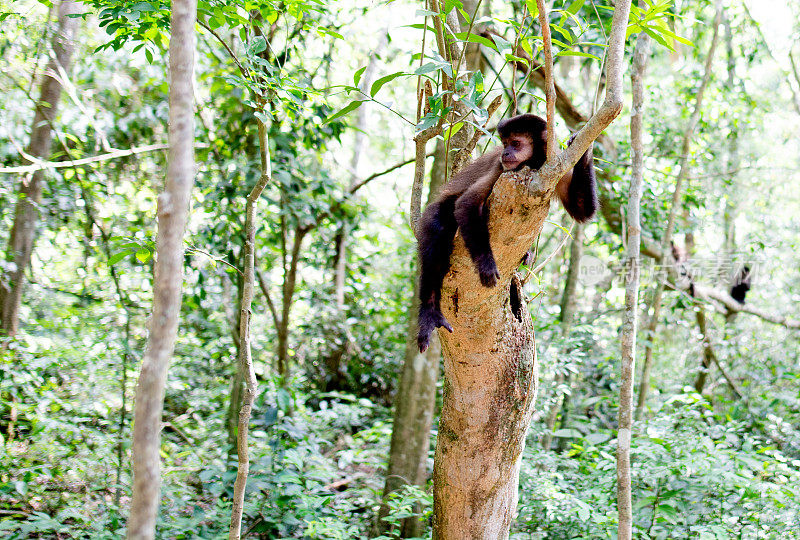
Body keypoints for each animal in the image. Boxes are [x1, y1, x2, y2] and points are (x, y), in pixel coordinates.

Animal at [416, 112, 596, 352]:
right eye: (505, 143)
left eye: (516, 143)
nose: (505, 153)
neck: (533, 164)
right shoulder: (503, 169)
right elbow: (466, 204)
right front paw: (486, 264)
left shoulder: (555, 168)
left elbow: (582, 211)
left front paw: (584, 147)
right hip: (434, 212)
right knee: (437, 234)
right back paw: (429, 312)